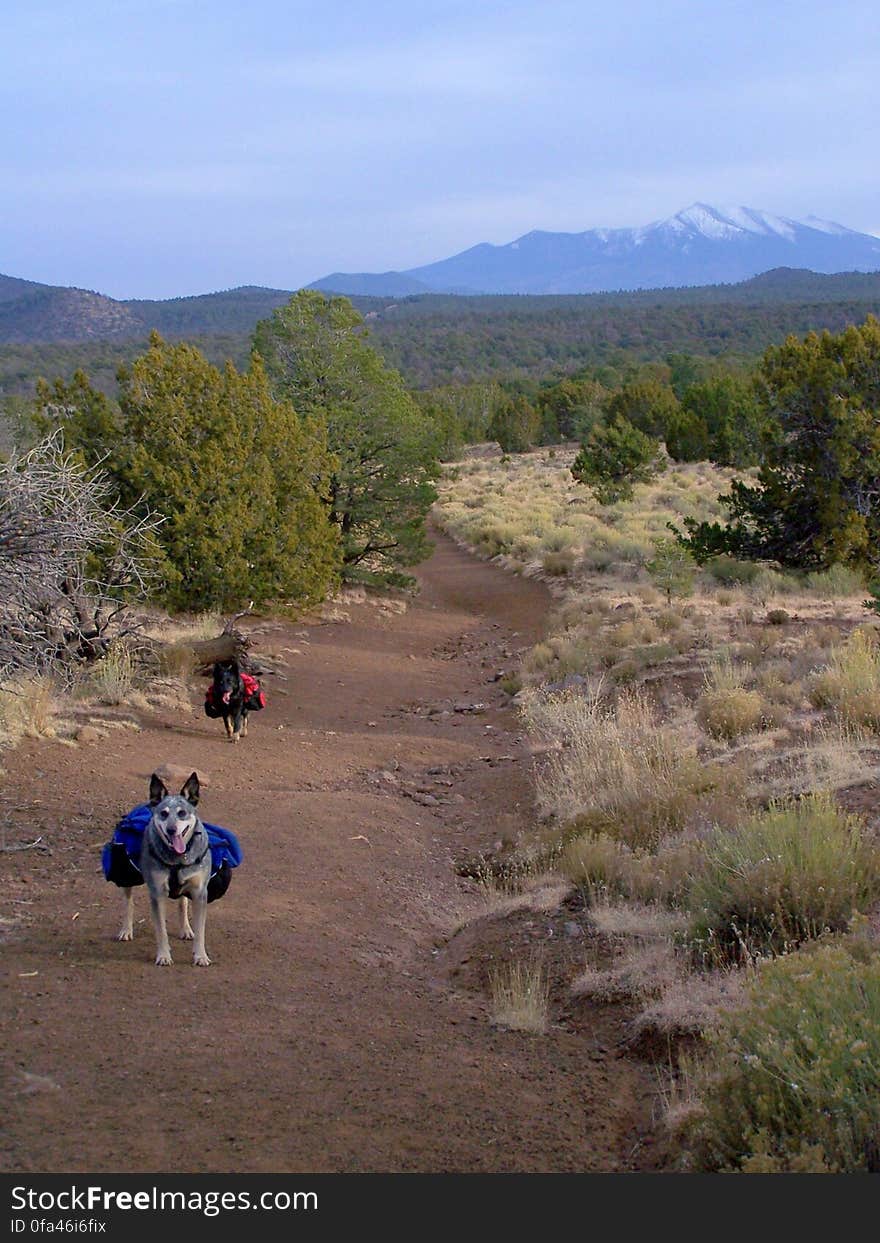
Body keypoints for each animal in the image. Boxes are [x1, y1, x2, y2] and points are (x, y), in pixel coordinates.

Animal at [116, 770, 212, 964]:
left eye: (182, 813)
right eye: (163, 814)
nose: (171, 830)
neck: (177, 859)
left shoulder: (199, 892)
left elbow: (201, 931)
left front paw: (200, 956)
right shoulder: (158, 892)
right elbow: (161, 930)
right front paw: (163, 956)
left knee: (182, 902)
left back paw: (186, 929)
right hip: (127, 876)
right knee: (128, 902)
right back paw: (126, 930)